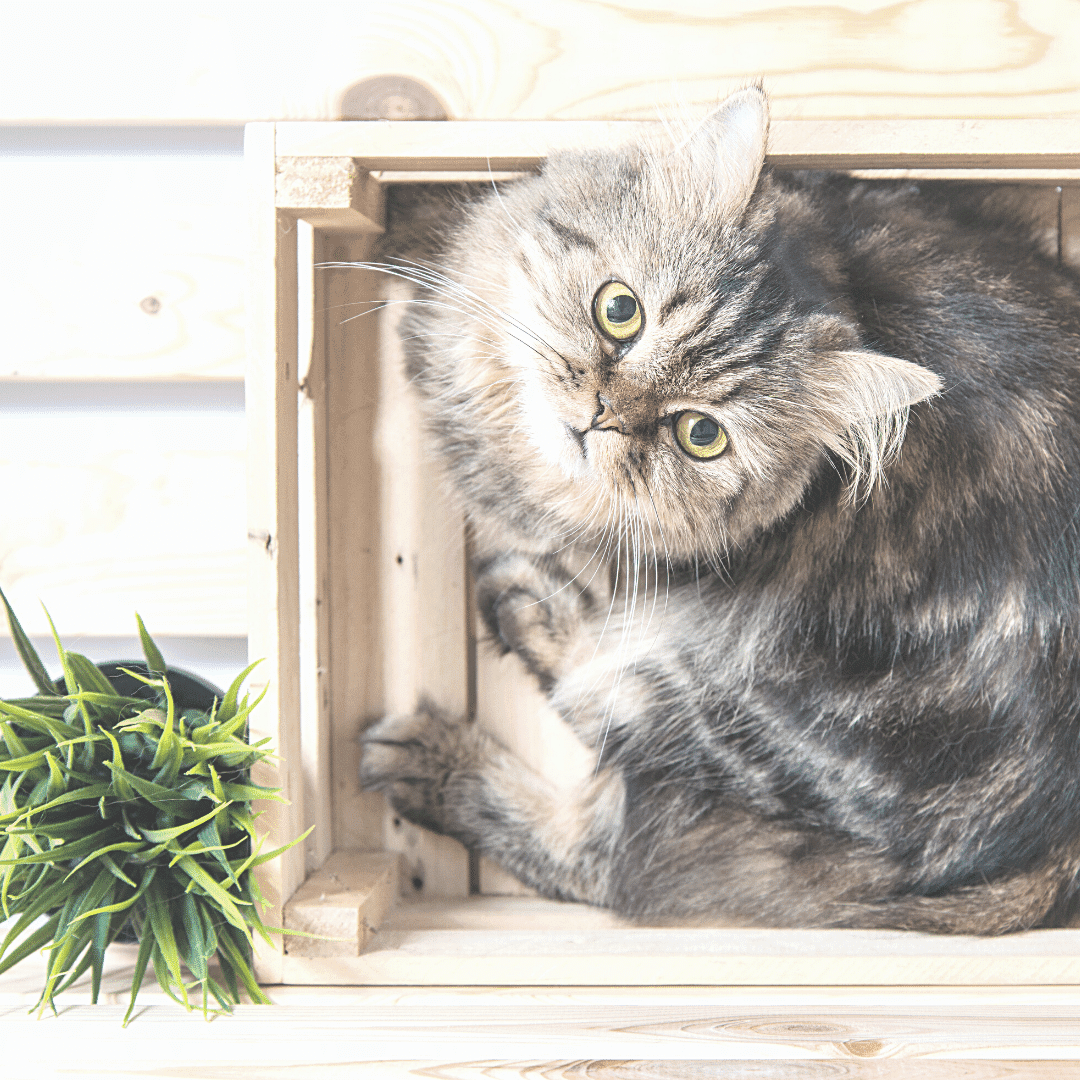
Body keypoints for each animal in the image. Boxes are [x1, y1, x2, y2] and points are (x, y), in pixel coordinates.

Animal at [358, 88, 1080, 933]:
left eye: (699, 434)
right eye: (619, 311)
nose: (602, 416)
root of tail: (1055, 842)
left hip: (737, 699)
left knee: (607, 841)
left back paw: (456, 719)